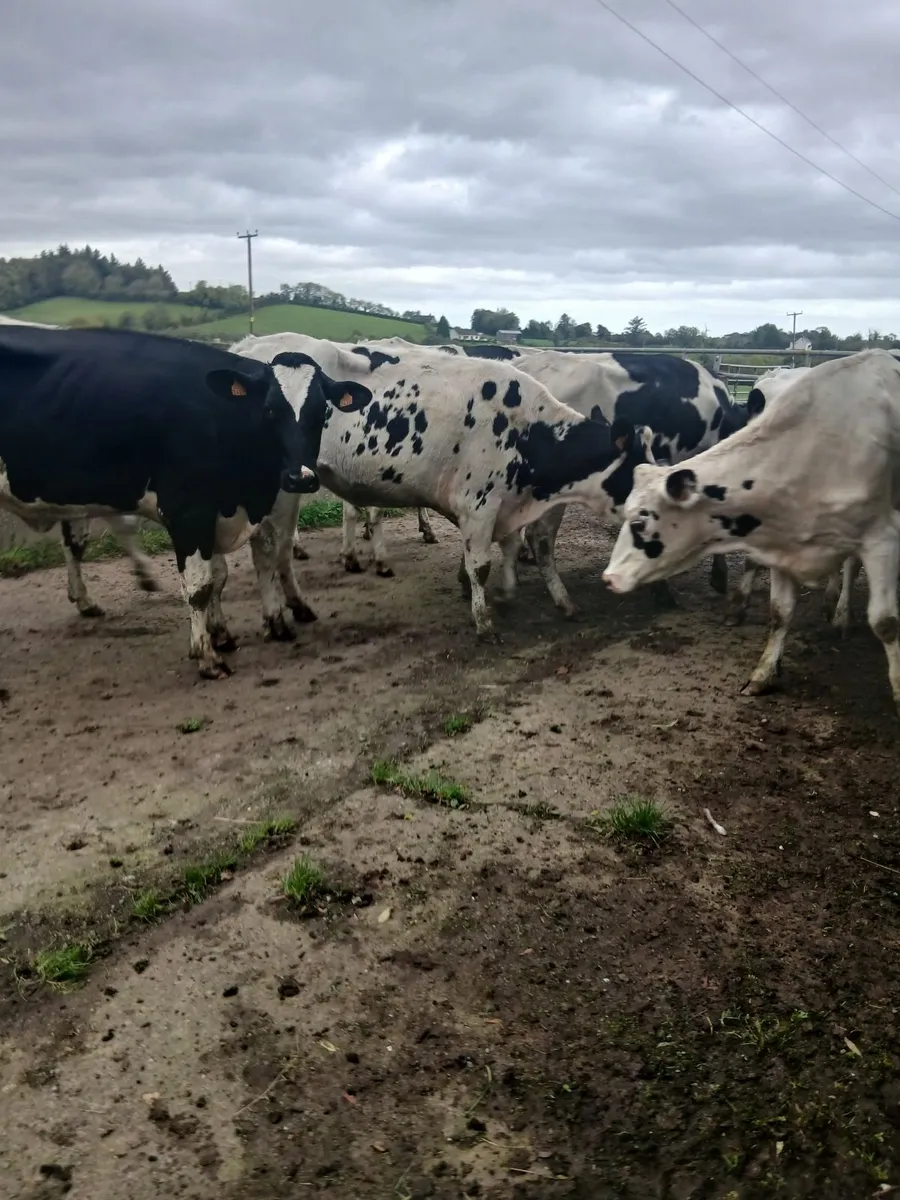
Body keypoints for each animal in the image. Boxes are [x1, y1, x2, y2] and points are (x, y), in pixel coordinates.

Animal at [0, 324, 365, 678]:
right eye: (270, 410)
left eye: (322, 412)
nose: (300, 478)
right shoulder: (189, 512)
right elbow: (200, 586)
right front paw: (207, 657)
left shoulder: (219, 511)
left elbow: (219, 577)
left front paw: (222, 635)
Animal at [231, 332, 654, 640]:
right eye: (637, 476)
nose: (655, 515)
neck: (526, 428)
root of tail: (246, 347)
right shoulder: (479, 504)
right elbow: (481, 565)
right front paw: (483, 621)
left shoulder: (502, 506)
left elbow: (515, 549)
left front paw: (525, 596)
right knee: (267, 549)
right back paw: (276, 618)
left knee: (278, 550)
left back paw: (295, 608)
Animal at [601, 350, 900, 712]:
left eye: (639, 522)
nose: (609, 578)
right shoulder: (783, 540)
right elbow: (780, 612)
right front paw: (764, 673)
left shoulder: (882, 540)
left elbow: (885, 623)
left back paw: (841, 613)